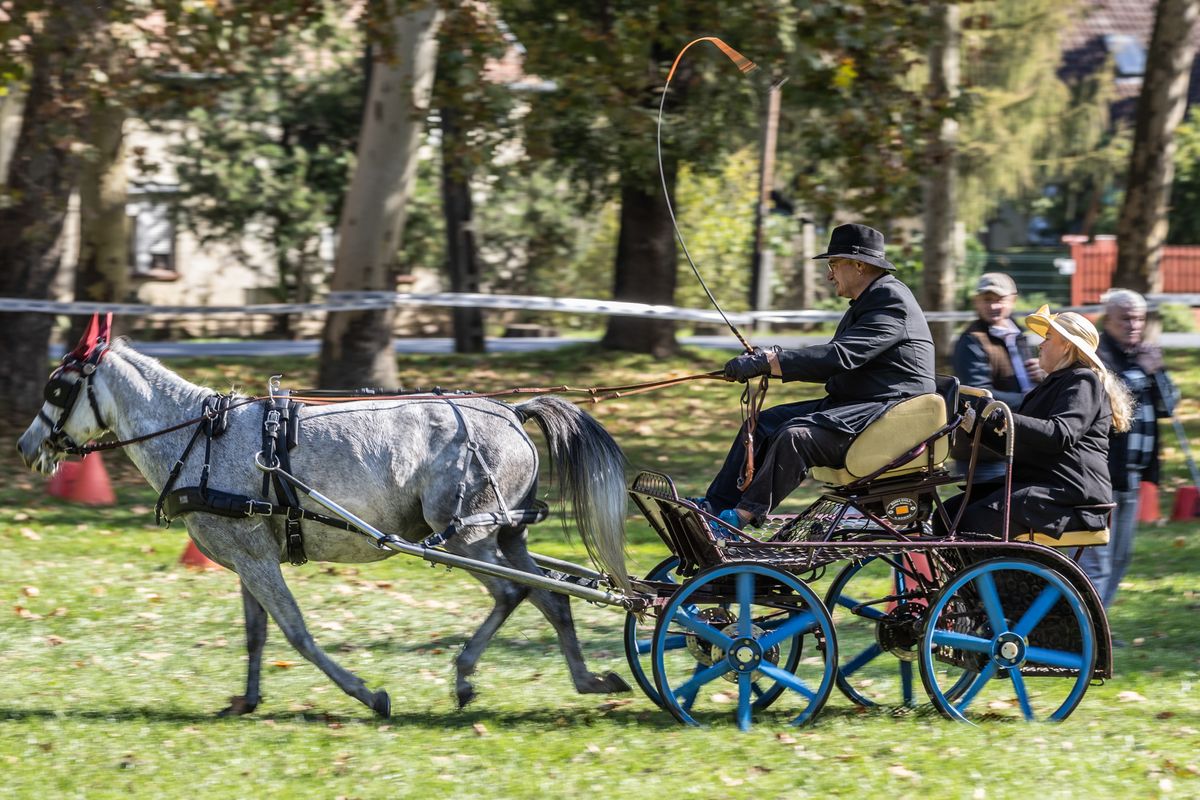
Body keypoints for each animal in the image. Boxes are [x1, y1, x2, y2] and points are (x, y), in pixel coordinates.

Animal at [18, 340, 633, 714]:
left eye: (57, 389)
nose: (27, 446)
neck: (202, 437)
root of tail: (510, 412)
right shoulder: (249, 558)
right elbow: (257, 633)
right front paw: (246, 700)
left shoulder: (256, 560)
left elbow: (296, 633)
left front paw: (367, 694)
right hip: (507, 535)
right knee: (550, 597)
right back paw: (589, 680)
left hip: (465, 535)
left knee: (511, 593)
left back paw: (464, 675)